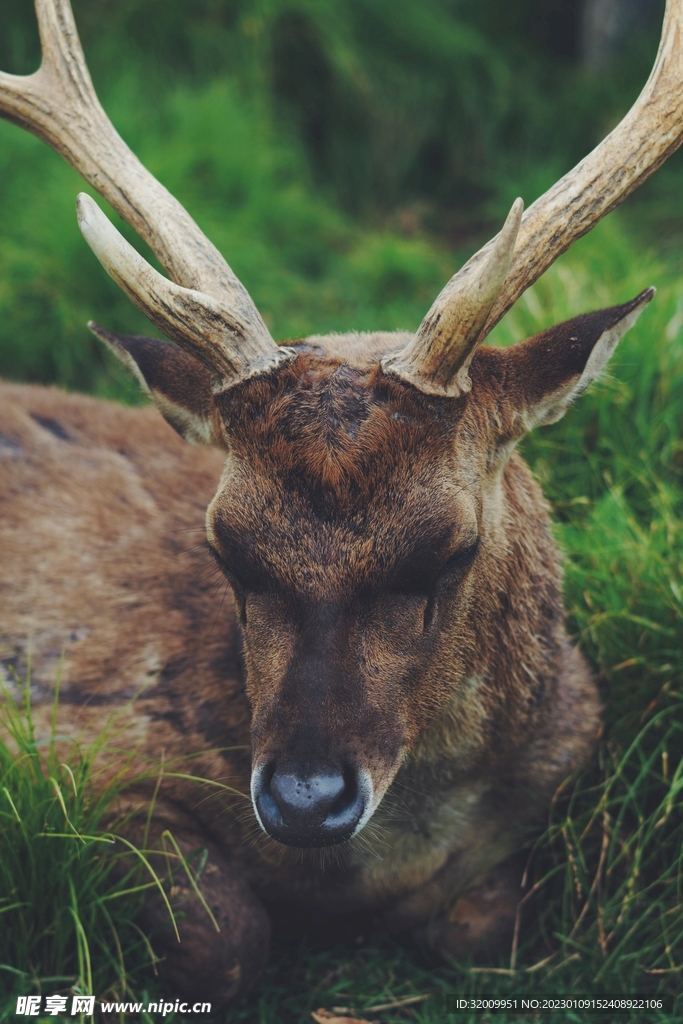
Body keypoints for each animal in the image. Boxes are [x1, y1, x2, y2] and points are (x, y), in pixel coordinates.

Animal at [1, 0, 683, 1008]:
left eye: (452, 549)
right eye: (224, 547)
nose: (304, 800)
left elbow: (487, 931)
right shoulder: (73, 752)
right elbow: (229, 936)